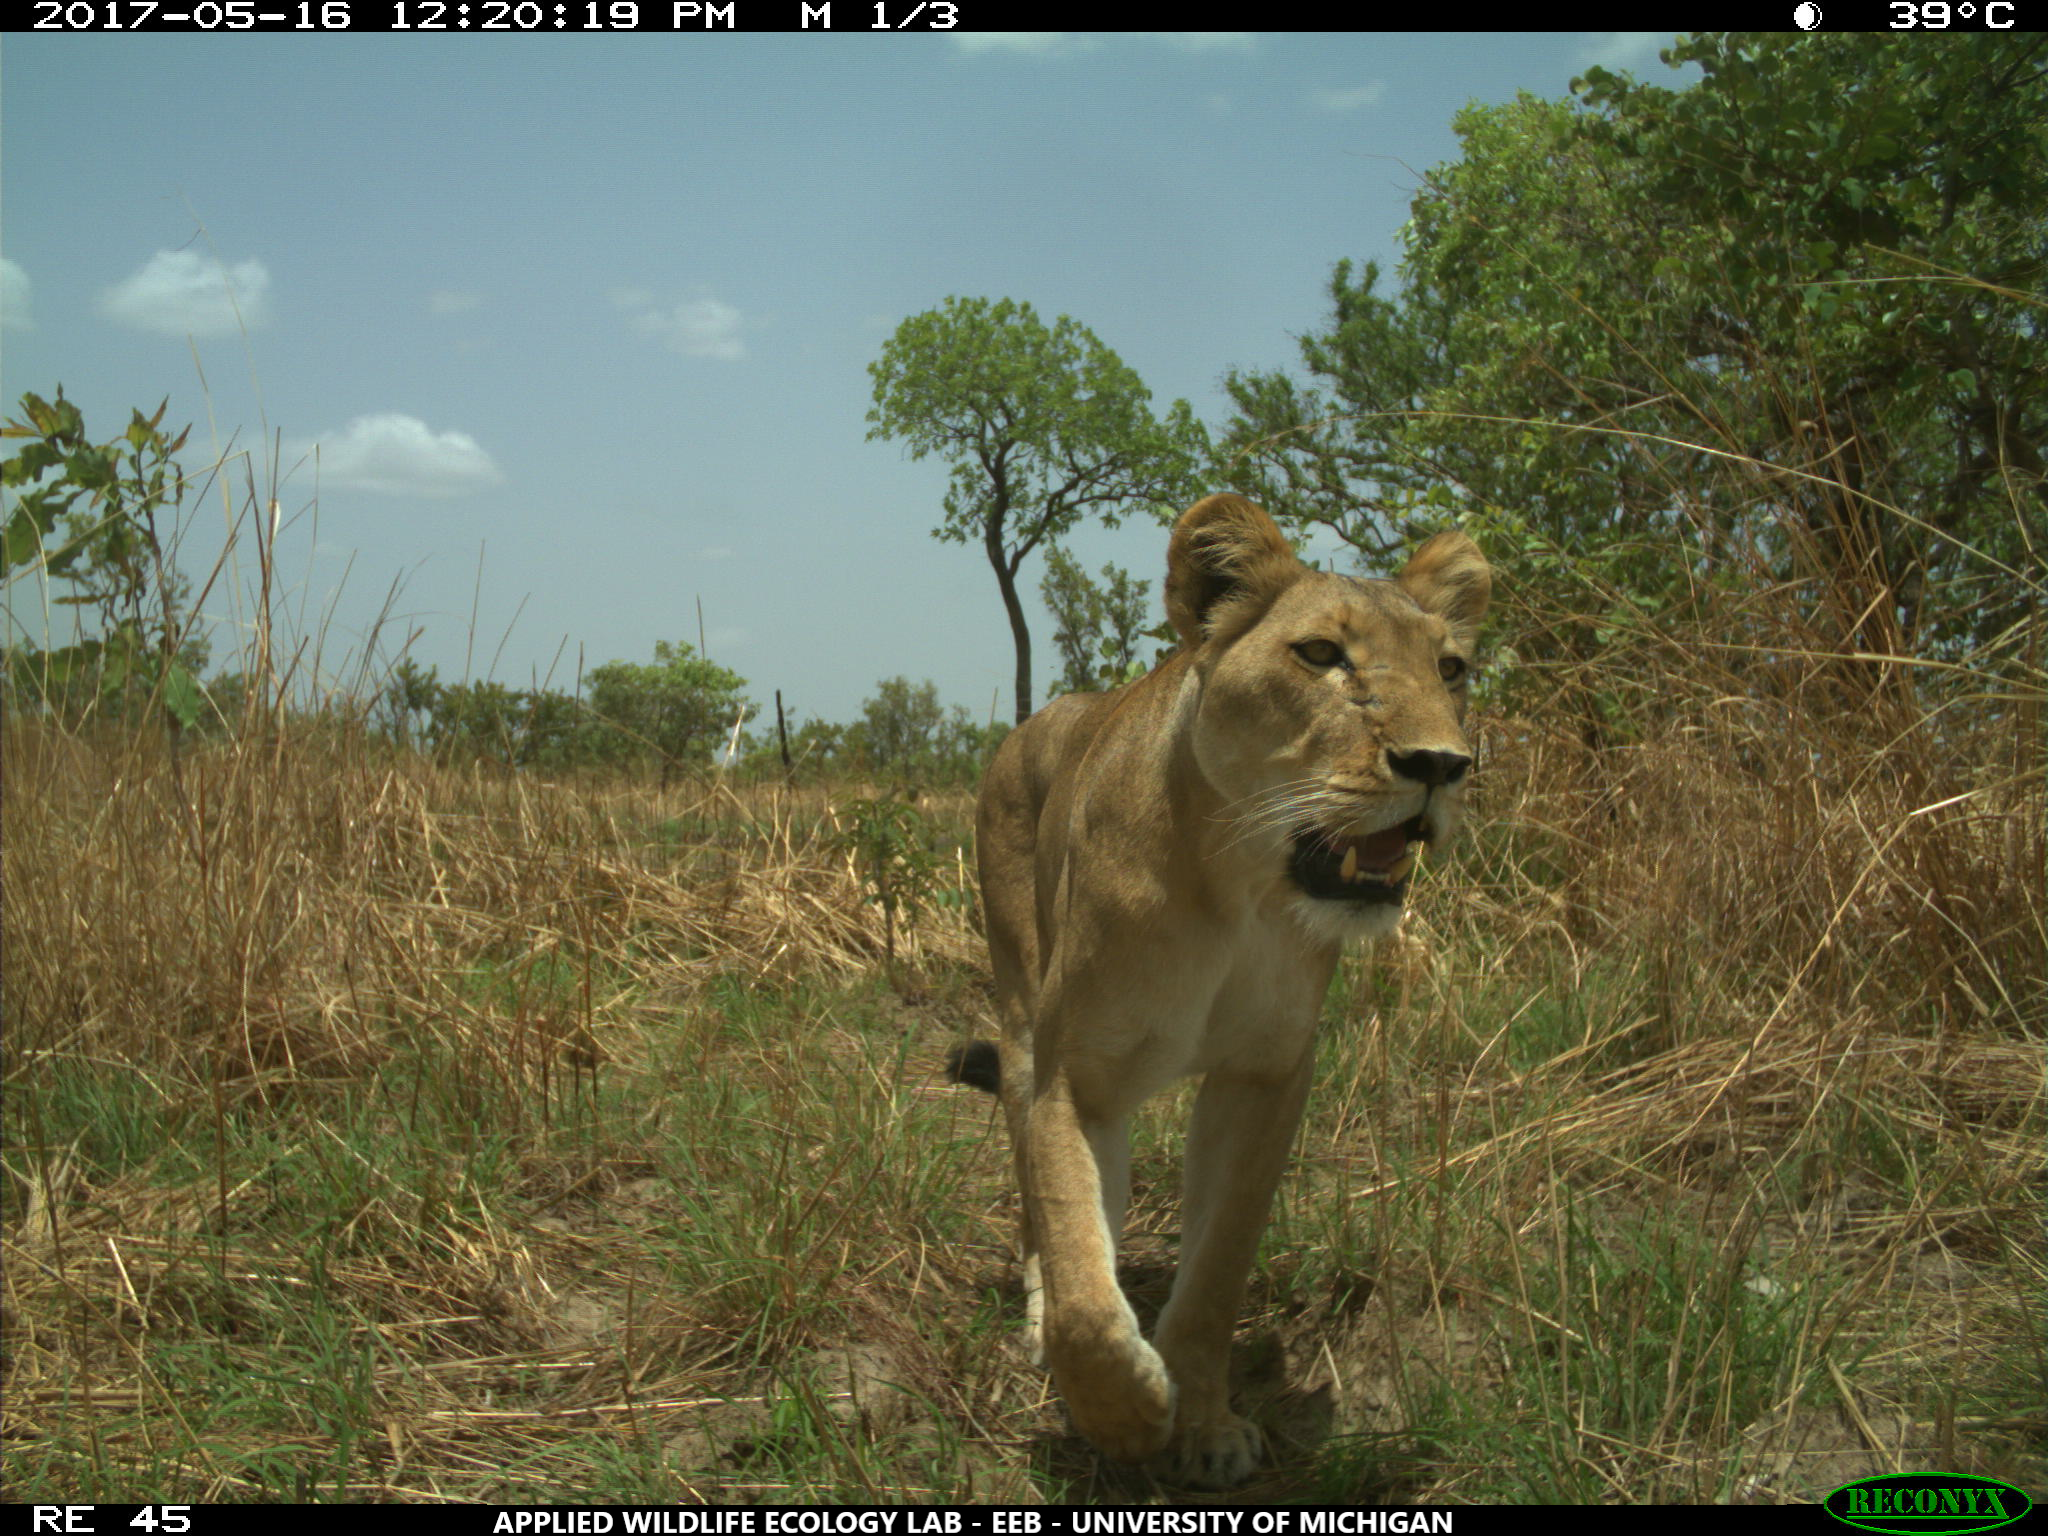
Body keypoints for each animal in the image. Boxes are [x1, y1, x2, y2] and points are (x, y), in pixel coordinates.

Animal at [952, 493, 1490, 1487]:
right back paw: (1044, 1318)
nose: (1441, 764)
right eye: (1320, 654)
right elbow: (1078, 1260)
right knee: (1043, 1212)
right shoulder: (1072, 1075)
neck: (1237, 888)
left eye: (1451, 668)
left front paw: (1203, 1425)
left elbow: (1214, 1273)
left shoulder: (1267, 1075)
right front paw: (1126, 1416)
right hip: (1017, 1017)